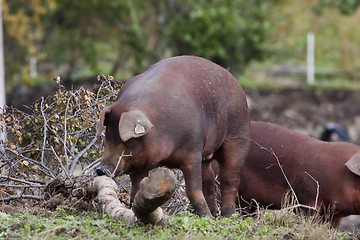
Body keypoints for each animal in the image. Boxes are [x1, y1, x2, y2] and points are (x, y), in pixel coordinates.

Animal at [95, 55, 250, 217]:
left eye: (127, 140)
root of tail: (235, 82)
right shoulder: (140, 163)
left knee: (229, 179)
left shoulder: (193, 152)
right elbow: (136, 189)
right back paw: (214, 214)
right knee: (210, 179)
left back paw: (227, 215)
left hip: (239, 135)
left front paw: (205, 217)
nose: (101, 170)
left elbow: (193, 190)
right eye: (107, 137)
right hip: (206, 156)